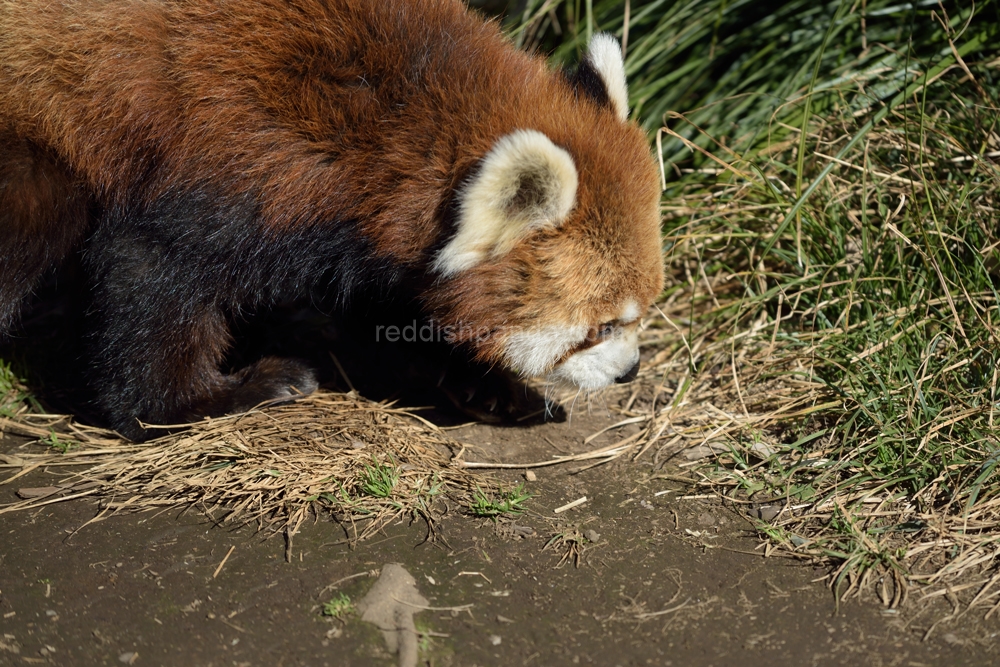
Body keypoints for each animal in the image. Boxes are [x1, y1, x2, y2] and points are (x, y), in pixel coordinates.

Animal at [0, 1, 664, 444]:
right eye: (602, 325)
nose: (630, 371)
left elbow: (394, 306)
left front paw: (487, 386)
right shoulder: (240, 153)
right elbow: (150, 270)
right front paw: (195, 403)